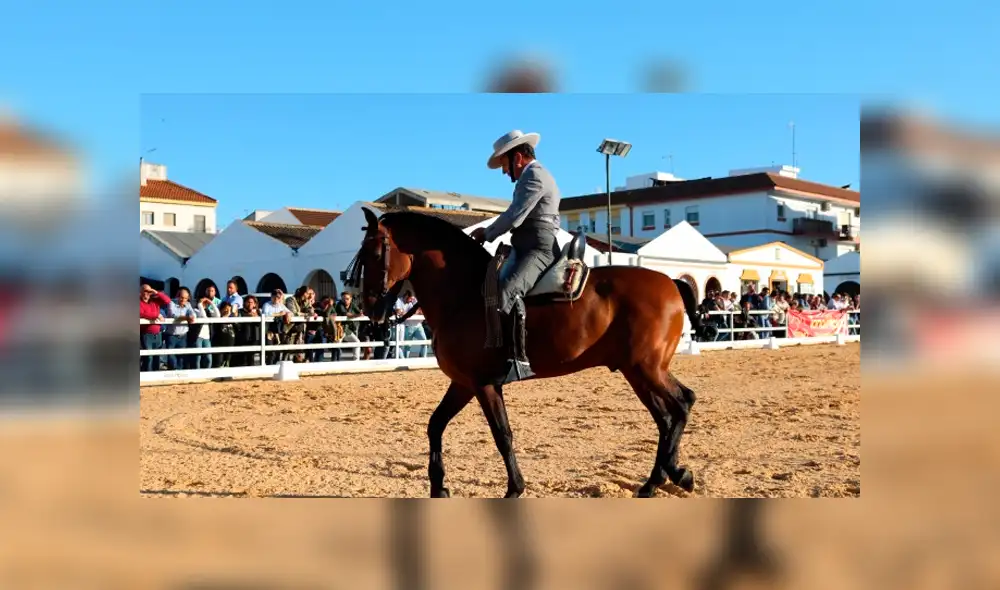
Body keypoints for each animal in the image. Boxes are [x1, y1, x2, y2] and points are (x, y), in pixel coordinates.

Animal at [347, 206, 705, 498]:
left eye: (374, 252)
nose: (369, 307)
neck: (464, 294)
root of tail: (672, 282)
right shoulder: (463, 383)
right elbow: (435, 424)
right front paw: (438, 487)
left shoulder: (484, 384)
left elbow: (502, 434)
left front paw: (514, 488)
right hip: (638, 371)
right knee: (668, 414)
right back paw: (662, 479)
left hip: (645, 369)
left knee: (679, 406)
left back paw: (668, 477)